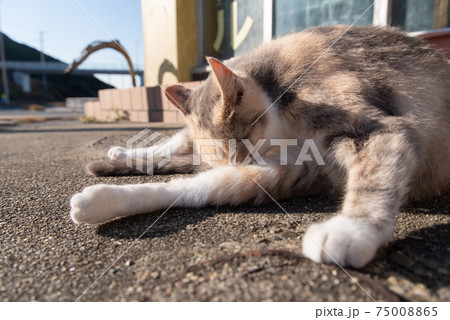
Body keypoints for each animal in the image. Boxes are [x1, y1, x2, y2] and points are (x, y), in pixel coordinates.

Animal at [70, 25, 450, 268]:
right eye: (231, 149)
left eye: (241, 143)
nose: (234, 161)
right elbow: (190, 185)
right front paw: (101, 200)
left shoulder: (364, 134)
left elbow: (374, 180)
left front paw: (353, 231)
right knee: (172, 145)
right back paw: (122, 153)